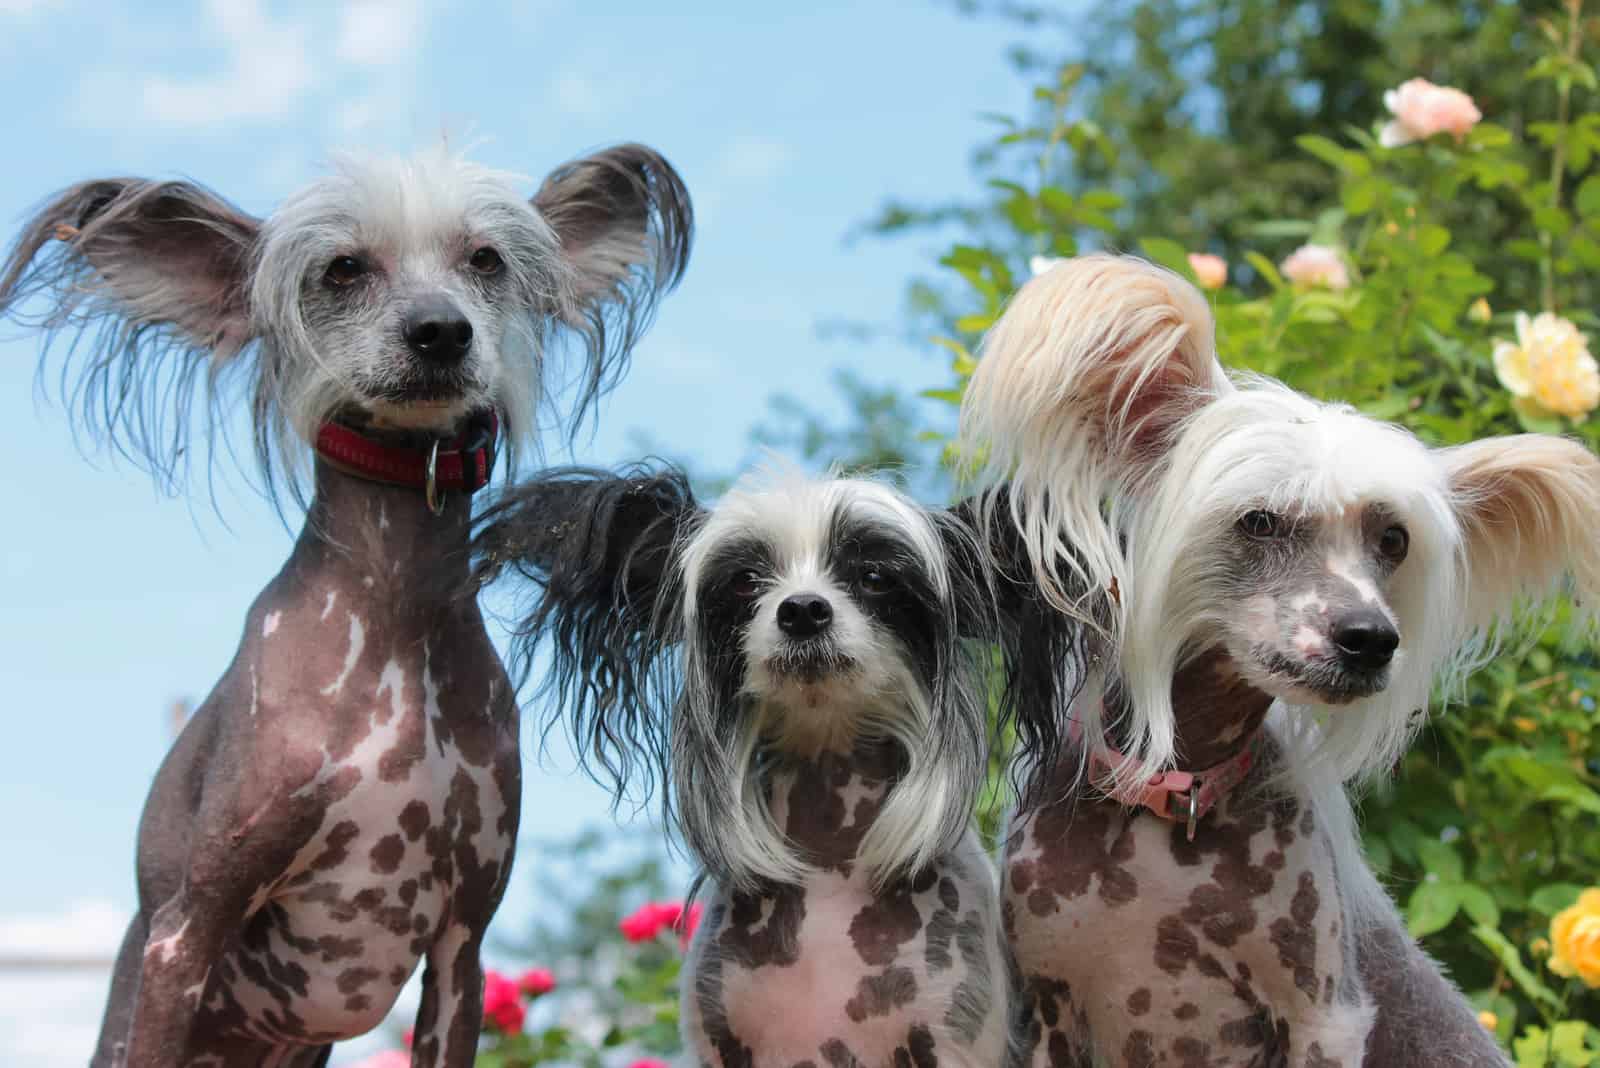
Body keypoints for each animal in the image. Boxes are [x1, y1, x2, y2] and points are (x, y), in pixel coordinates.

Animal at [1, 143, 688, 1068]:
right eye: (343, 268)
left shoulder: (463, 950)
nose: (440, 330)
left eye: (486, 260)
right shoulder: (184, 934)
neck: (397, 614)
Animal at [953, 254, 1593, 1061]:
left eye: (1393, 540)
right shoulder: (1046, 1013)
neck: (1175, 797)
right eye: (1259, 521)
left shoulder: (1323, 1015)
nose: (1371, 638)